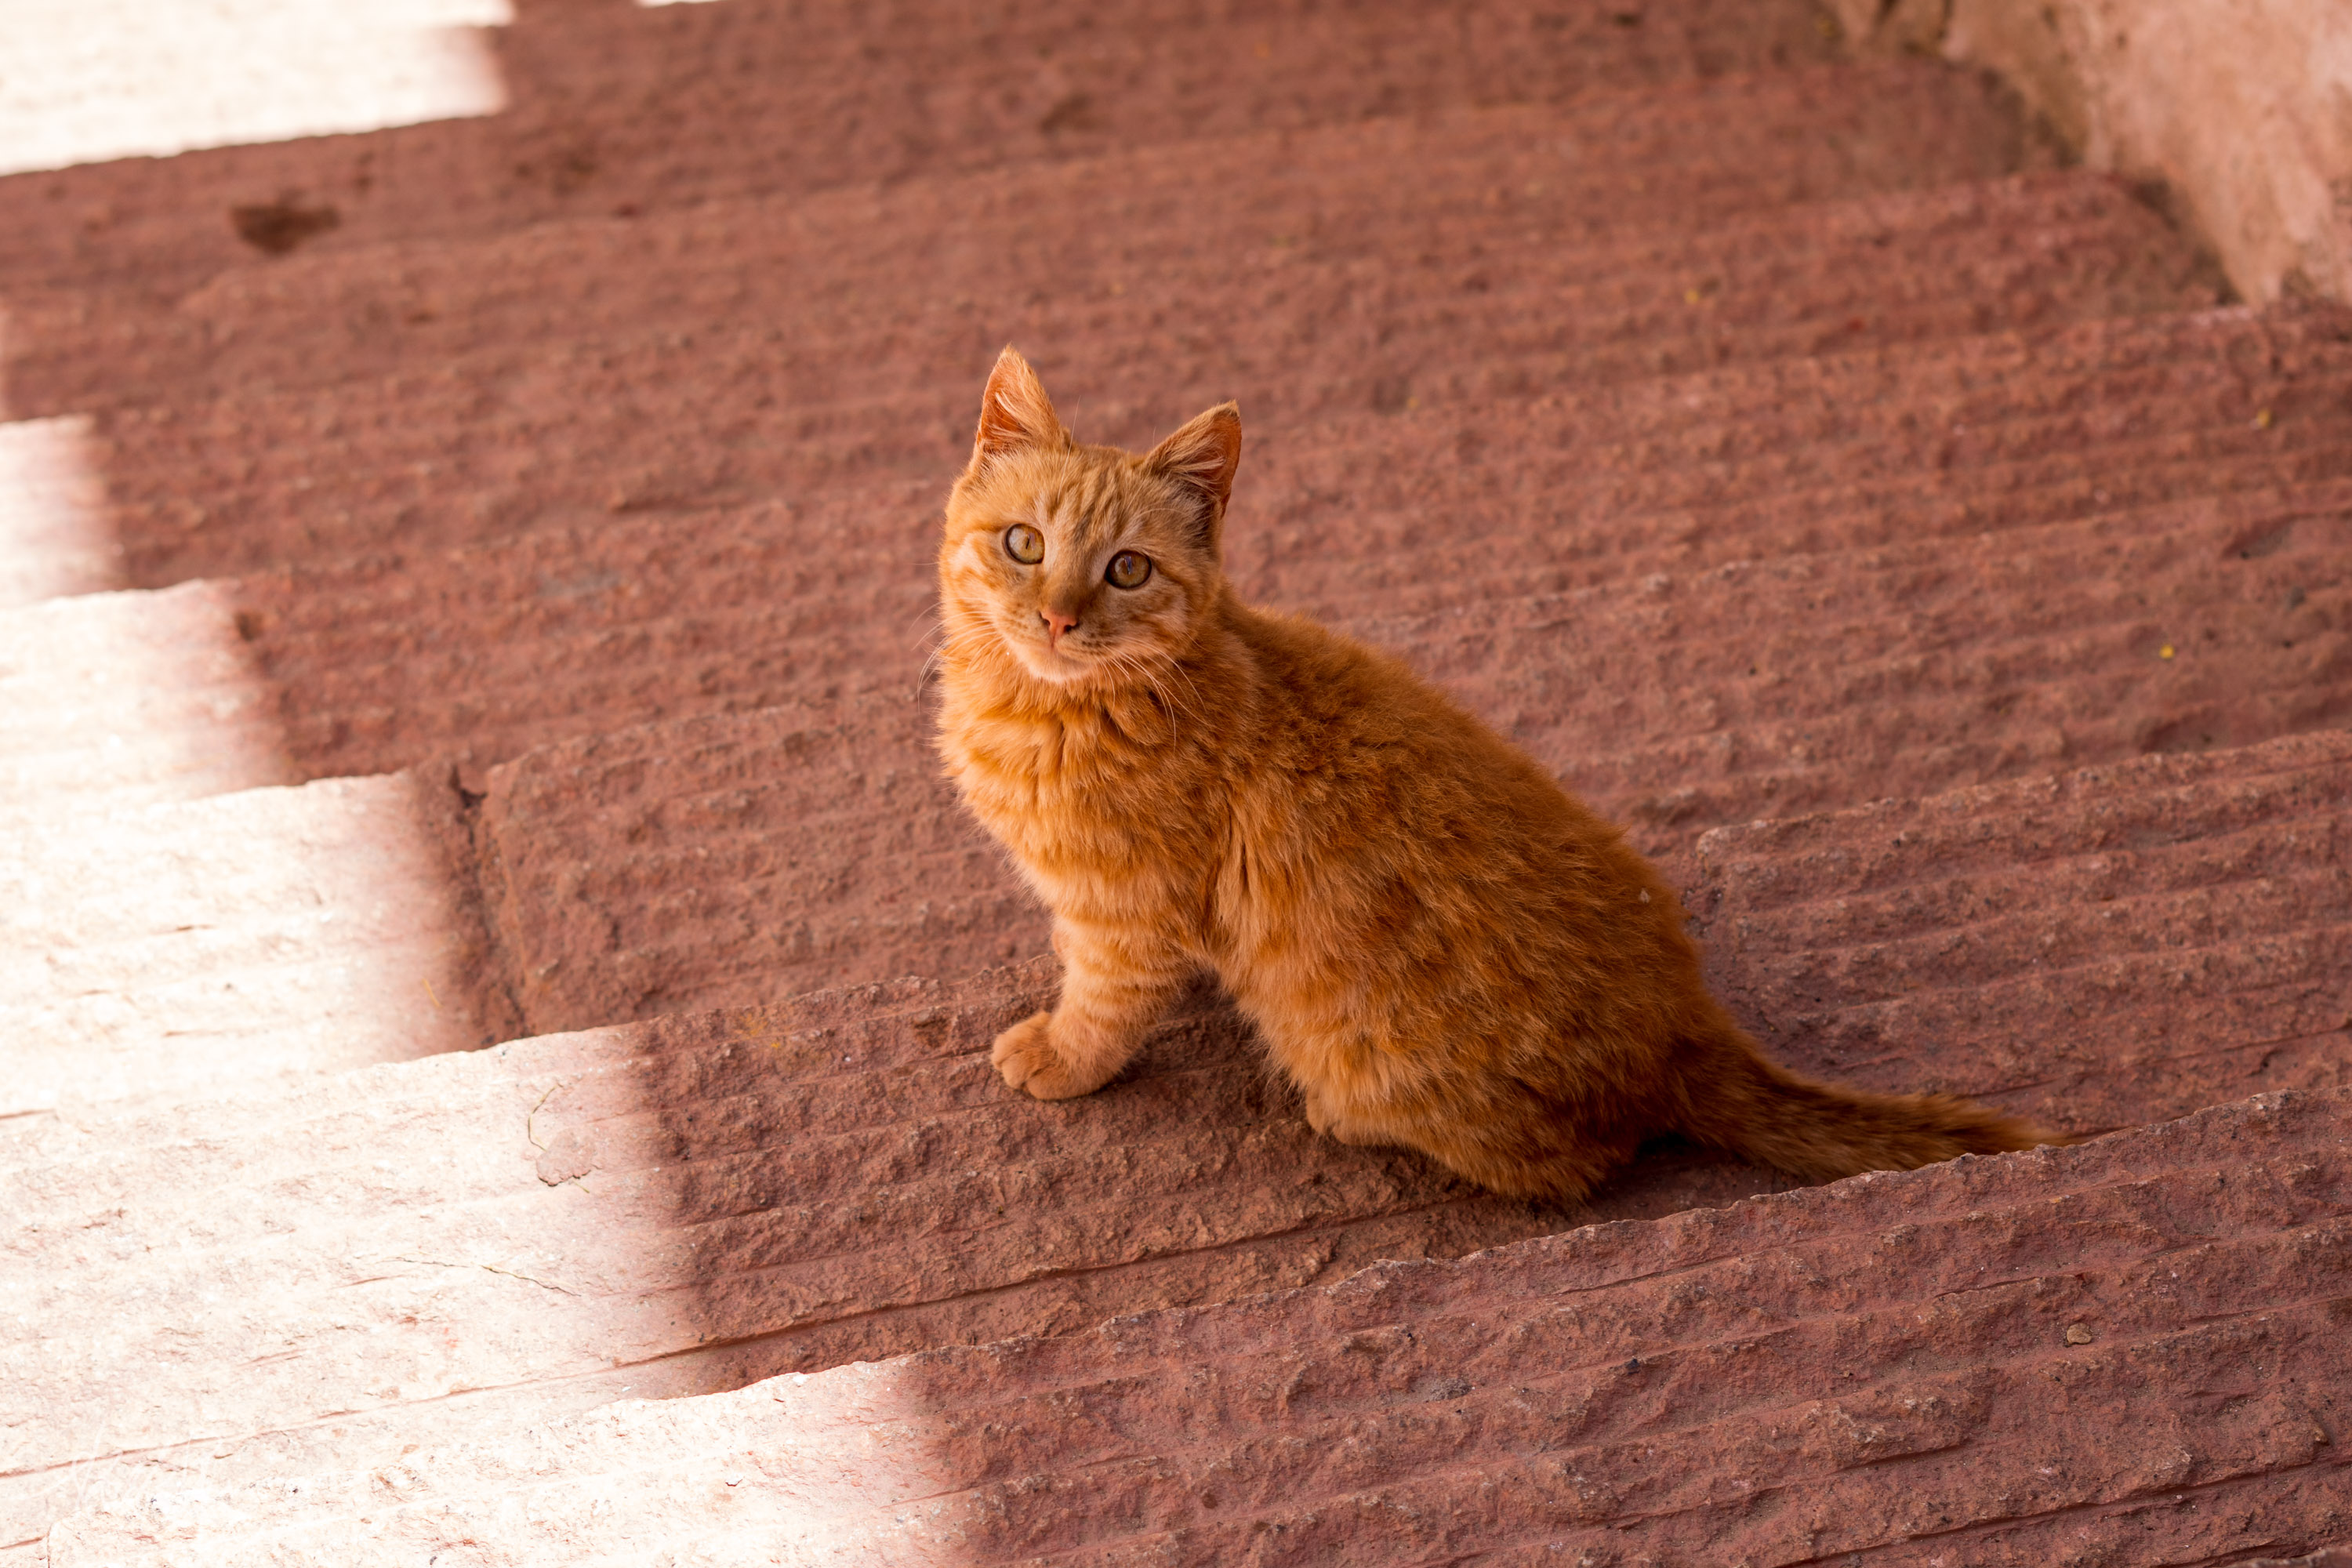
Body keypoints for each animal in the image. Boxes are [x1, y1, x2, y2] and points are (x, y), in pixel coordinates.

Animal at [936, 345, 2060, 1203]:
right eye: (1024, 544)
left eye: (1126, 568)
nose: (1058, 618)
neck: (1052, 707)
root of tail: (1686, 1029)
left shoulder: (1124, 916)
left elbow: (1104, 1007)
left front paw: (1059, 1053)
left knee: (1571, 1164)